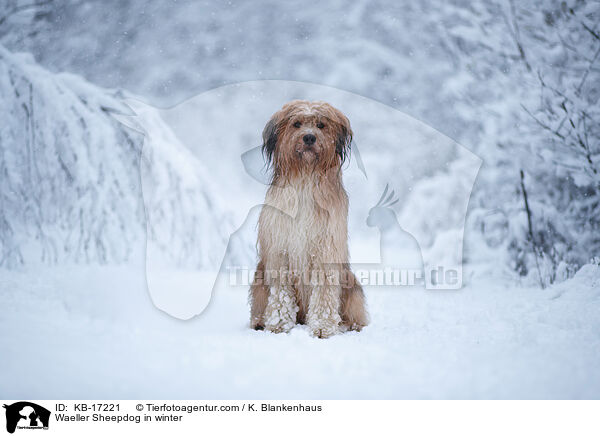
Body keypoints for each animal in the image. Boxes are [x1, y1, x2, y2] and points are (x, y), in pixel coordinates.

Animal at [247, 100, 366, 338]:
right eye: (297, 124)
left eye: (321, 125)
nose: (309, 137)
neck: (305, 178)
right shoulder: (280, 250)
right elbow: (281, 294)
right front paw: (278, 324)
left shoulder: (325, 250)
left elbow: (324, 293)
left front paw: (322, 327)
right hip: (259, 279)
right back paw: (259, 322)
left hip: (351, 284)